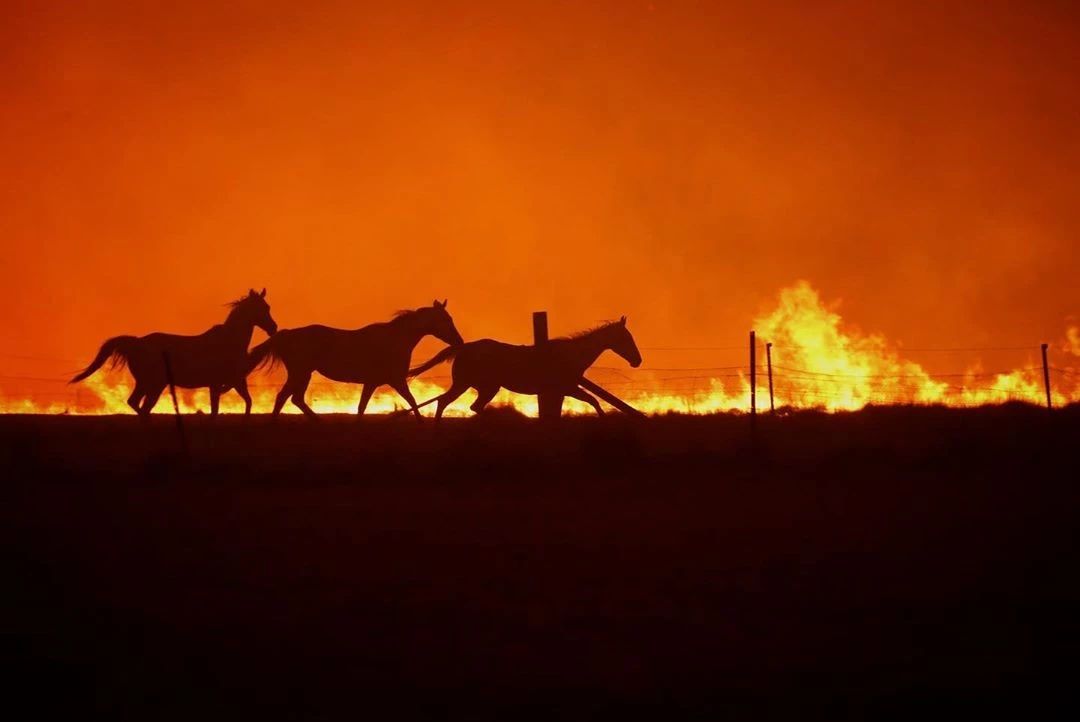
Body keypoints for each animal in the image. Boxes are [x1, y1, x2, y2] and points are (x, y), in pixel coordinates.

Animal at [72, 284, 278, 414]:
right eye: (261, 308)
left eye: (267, 306)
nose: (273, 328)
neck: (229, 342)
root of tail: (137, 343)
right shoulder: (217, 384)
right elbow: (216, 410)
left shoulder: (235, 382)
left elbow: (247, 403)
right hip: (154, 384)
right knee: (142, 406)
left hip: (147, 383)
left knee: (136, 403)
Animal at [249, 297, 464, 416]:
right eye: (447, 319)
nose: (459, 341)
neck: (395, 339)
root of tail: (285, 335)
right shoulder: (396, 380)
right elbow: (411, 402)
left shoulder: (374, 382)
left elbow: (362, 407)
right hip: (300, 373)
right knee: (287, 398)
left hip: (302, 374)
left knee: (292, 399)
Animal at [406, 315, 639, 416]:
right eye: (626, 338)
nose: (638, 360)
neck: (570, 355)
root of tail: (464, 348)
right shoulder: (567, 388)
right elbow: (594, 401)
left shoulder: (562, 390)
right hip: (468, 384)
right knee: (446, 402)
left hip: (484, 387)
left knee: (471, 407)